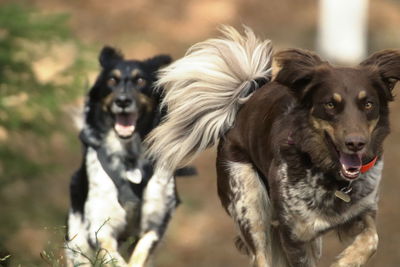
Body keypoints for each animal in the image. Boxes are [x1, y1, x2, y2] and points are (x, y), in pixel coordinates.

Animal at [65, 47, 193, 266]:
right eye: (112, 80)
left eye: (140, 80)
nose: (123, 101)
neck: (130, 159)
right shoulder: (100, 227)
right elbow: (113, 256)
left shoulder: (156, 222)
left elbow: (141, 251)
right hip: (77, 244)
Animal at [142, 27, 398, 267]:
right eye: (330, 105)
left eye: (368, 104)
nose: (356, 144)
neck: (329, 177)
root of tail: (245, 100)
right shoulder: (294, 235)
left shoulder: (361, 212)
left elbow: (372, 239)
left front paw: (348, 259)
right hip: (250, 205)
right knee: (261, 254)